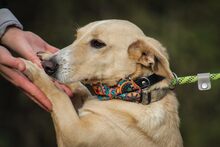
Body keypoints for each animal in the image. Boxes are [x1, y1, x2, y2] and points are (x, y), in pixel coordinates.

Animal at [22, 19, 184, 147]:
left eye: (97, 43)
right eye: (77, 37)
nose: (47, 66)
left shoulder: (74, 133)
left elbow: (59, 95)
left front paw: (35, 71)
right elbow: (80, 88)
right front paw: (45, 56)